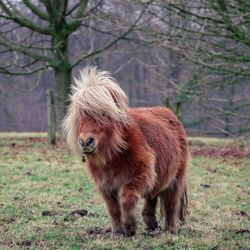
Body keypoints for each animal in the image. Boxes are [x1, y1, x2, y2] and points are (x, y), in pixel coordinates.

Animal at [63, 66, 189, 236]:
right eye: (80, 115)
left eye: (103, 114)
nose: (86, 141)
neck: (115, 155)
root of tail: (171, 115)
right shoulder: (106, 186)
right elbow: (113, 209)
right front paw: (117, 232)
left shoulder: (140, 176)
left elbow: (126, 199)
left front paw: (130, 227)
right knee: (153, 196)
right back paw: (151, 223)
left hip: (176, 178)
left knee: (171, 203)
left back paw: (170, 230)